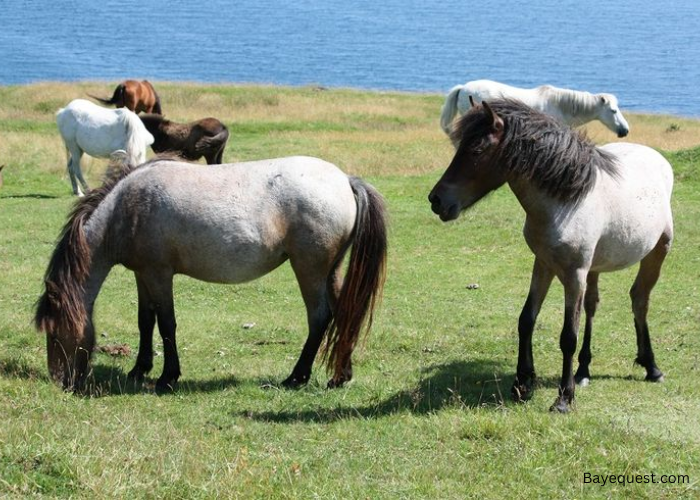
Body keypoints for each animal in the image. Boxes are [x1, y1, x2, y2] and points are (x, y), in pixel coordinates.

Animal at [34, 154, 388, 392]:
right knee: (344, 313)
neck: (128, 208)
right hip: (330, 271)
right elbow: (145, 321)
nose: (60, 380)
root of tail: (345, 181)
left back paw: (296, 377)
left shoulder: (159, 274)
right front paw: (139, 369)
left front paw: (167, 377)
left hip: (310, 271)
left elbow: (167, 323)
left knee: (319, 318)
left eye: (54, 331)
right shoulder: (143, 274)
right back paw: (340, 376)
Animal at [426, 98, 672, 414]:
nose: (436, 200)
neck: (567, 200)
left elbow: (568, 335)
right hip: (595, 267)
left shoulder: (574, 274)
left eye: (477, 150)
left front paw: (564, 398)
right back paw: (583, 371)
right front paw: (522, 383)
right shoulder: (544, 264)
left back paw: (651, 367)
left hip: (657, 251)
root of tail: (656, 157)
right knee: (593, 306)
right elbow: (526, 320)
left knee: (640, 300)